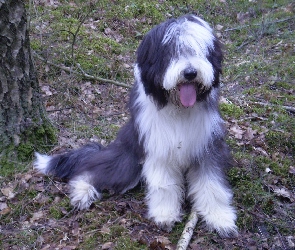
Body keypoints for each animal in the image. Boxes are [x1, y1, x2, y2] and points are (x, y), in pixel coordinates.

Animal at [34, 14, 238, 237]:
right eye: (171, 52)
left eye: (200, 50)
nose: (190, 73)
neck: (178, 109)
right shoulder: (158, 148)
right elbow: (164, 184)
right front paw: (165, 214)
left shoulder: (207, 146)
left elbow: (212, 184)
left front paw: (220, 218)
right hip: (128, 161)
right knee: (92, 169)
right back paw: (82, 191)